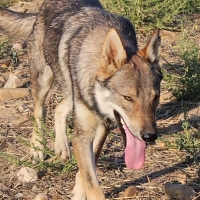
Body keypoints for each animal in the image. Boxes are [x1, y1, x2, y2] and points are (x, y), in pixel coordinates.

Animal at [0, 0, 162, 199]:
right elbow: (93, 185)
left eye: (155, 98)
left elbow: (86, 172)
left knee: (59, 108)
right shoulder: (83, 135)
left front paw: (78, 191)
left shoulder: (102, 127)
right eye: (128, 98)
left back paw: (61, 147)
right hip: (44, 80)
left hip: (72, 93)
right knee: (40, 110)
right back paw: (37, 149)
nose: (150, 136)